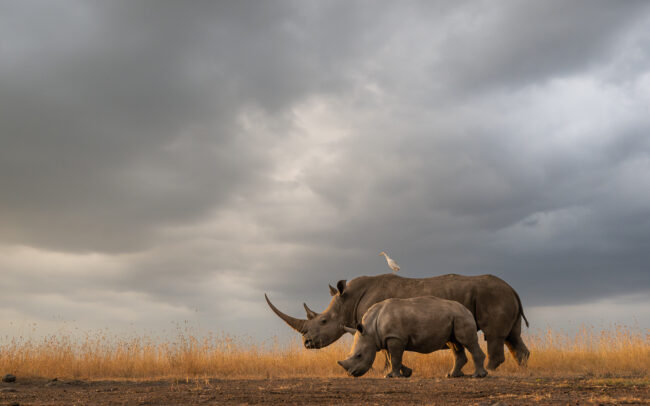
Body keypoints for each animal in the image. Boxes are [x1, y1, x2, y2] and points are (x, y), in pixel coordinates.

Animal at [265, 273, 529, 370]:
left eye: (323, 321)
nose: (307, 344)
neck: (347, 299)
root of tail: (513, 288)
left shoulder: (378, 325)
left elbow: (385, 352)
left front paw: (385, 371)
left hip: (494, 296)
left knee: (494, 336)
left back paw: (491, 371)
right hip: (503, 296)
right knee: (513, 337)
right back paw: (520, 371)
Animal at [337, 296, 488, 378]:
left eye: (359, 355)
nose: (351, 374)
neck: (370, 330)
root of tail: (467, 310)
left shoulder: (395, 338)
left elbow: (395, 357)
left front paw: (392, 376)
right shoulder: (384, 338)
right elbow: (392, 358)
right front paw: (406, 373)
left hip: (461, 317)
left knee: (467, 342)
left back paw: (478, 376)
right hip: (455, 317)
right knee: (455, 344)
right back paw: (451, 375)